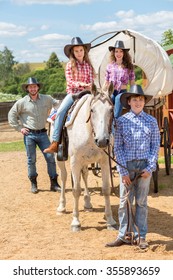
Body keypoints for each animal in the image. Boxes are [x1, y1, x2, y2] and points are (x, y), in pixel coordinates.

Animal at [50, 83, 117, 232]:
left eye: (111, 110)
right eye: (92, 110)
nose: (102, 141)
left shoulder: (104, 162)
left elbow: (106, 189)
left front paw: (110, 221)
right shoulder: (75, 161)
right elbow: (76, 190)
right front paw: (76, 222)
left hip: (86, 161)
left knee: (85, 174)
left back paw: (87, 203)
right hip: (59, 158)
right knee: (63, 177)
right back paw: (61, 206)